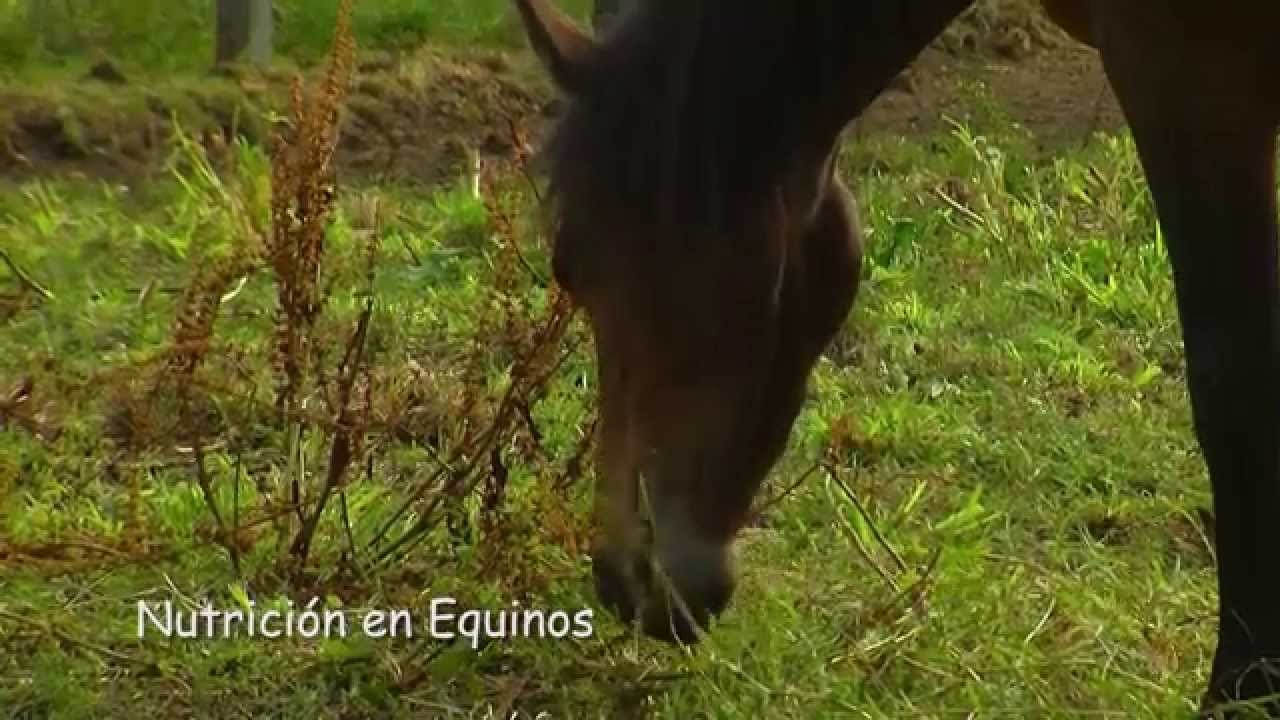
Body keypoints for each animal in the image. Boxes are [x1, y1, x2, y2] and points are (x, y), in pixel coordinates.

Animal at [512, 0, 1280, 713]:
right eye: (569, 266)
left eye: (713, 277)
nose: (628, 579)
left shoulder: (1183, 69)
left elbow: (1234, 385)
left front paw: (1241, 689)